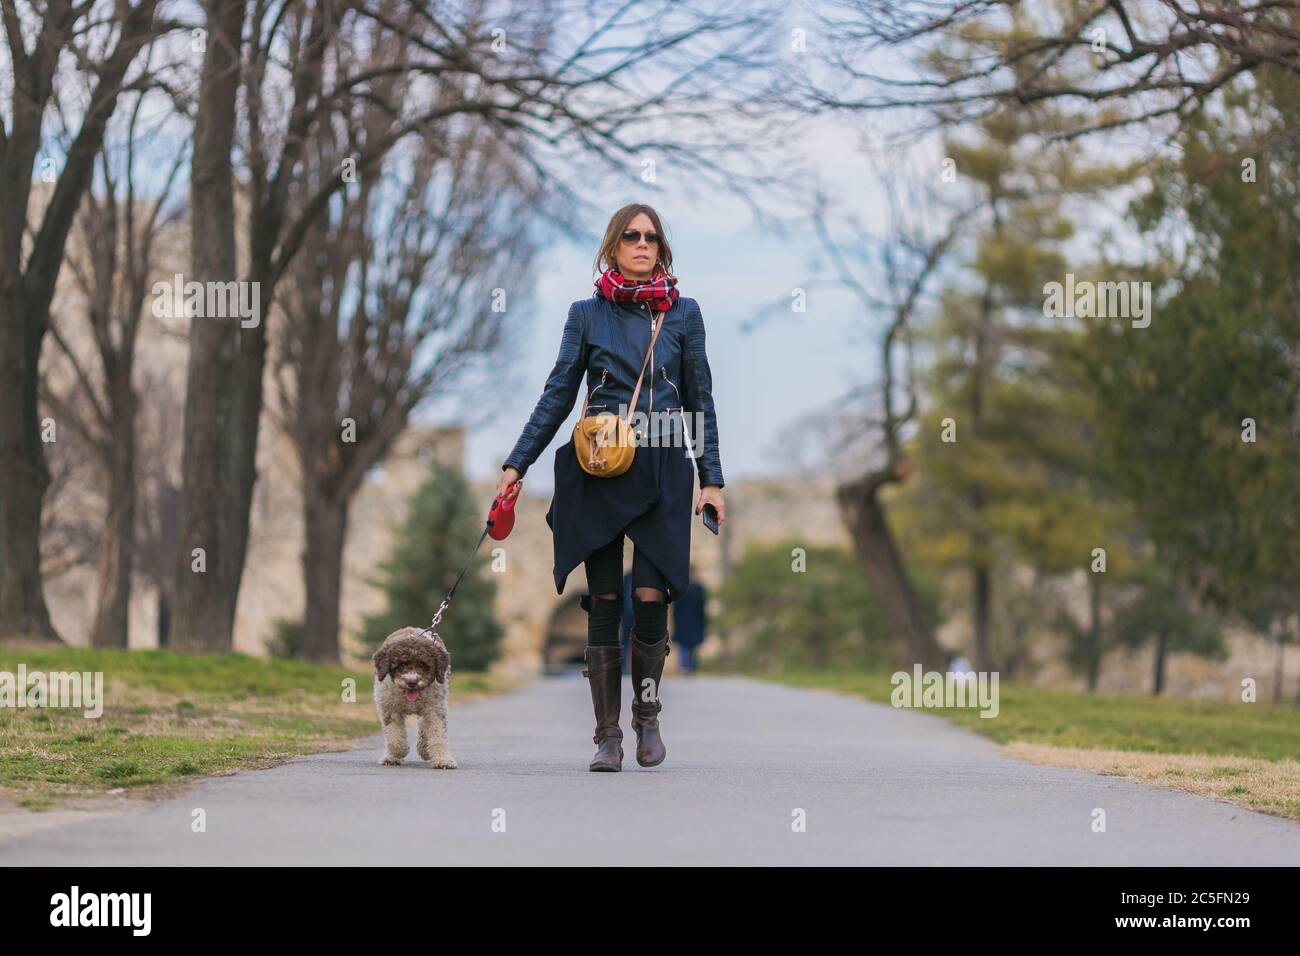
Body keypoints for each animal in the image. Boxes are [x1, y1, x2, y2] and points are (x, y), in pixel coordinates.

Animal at [371, 629, 457, 770]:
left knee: (423, 727)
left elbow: (438, 733)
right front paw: (399, 752)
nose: (412, 681)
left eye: (423, 664)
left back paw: (425, 750)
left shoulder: (435, 708)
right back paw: (391, 758)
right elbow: (394, 736)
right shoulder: (389, 707)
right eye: (401, 664)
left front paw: (443, 760)